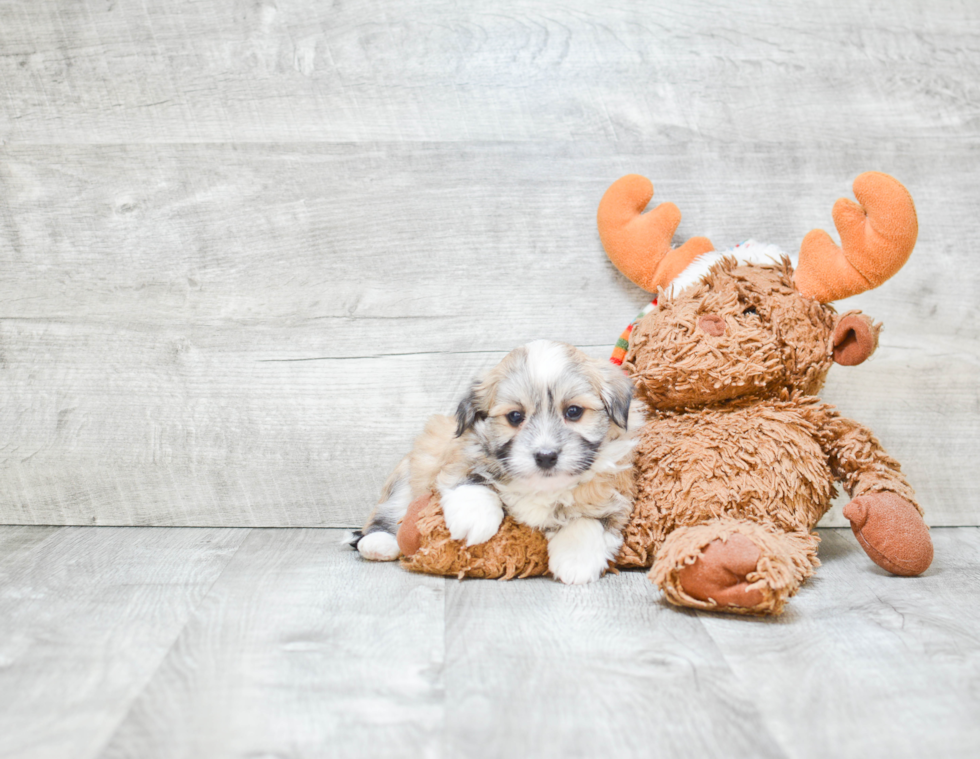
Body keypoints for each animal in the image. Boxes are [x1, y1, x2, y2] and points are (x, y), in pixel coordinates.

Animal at [352, 342, 644, 584]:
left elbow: (589, 518)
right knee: (389, 512)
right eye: (515, 417)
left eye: (573, 412)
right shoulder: (459, 451)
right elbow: (470, 477)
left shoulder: (614, 490)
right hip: (406, 476)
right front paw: (474, 518)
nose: (546, 456)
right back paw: (379, 542)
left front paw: (576, 560)